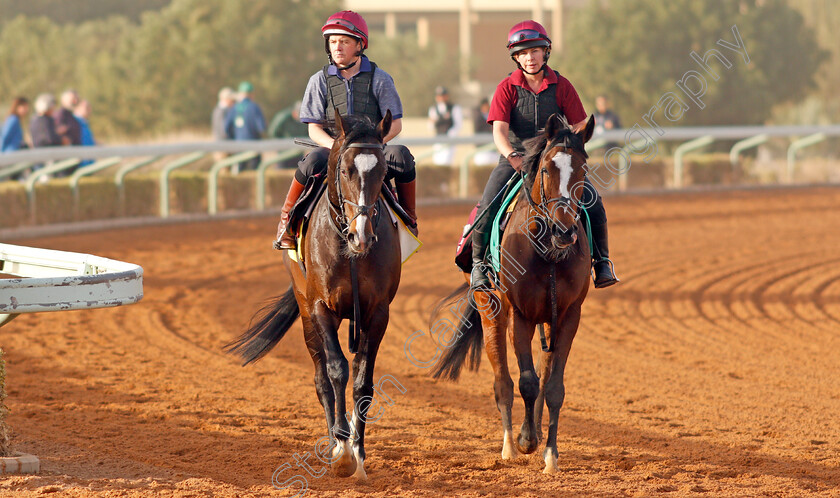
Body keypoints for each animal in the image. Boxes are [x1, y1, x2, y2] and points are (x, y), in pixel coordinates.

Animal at [225, 111, 402, 480]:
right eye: (346, 170)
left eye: (382, 171)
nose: (363, 235)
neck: (348, 247)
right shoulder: (321, 306)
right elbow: (336, 371)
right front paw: (342, 448)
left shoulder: (378, 312)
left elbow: (363, 382)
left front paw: (359, 452)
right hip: (305, 311)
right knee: (321, 378)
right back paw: (334, 439)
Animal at [434, 113, 596, 474]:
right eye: (547, 169)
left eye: (583, 169)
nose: (565, 230)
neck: (547, 250)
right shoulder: (520, 315)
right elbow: (526, 382)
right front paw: (525, 441)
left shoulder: (569, 315)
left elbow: (553, 385)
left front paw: (550, 453)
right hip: (490, 309)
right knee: (503, 381)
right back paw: (509, 444)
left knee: (542, 374)